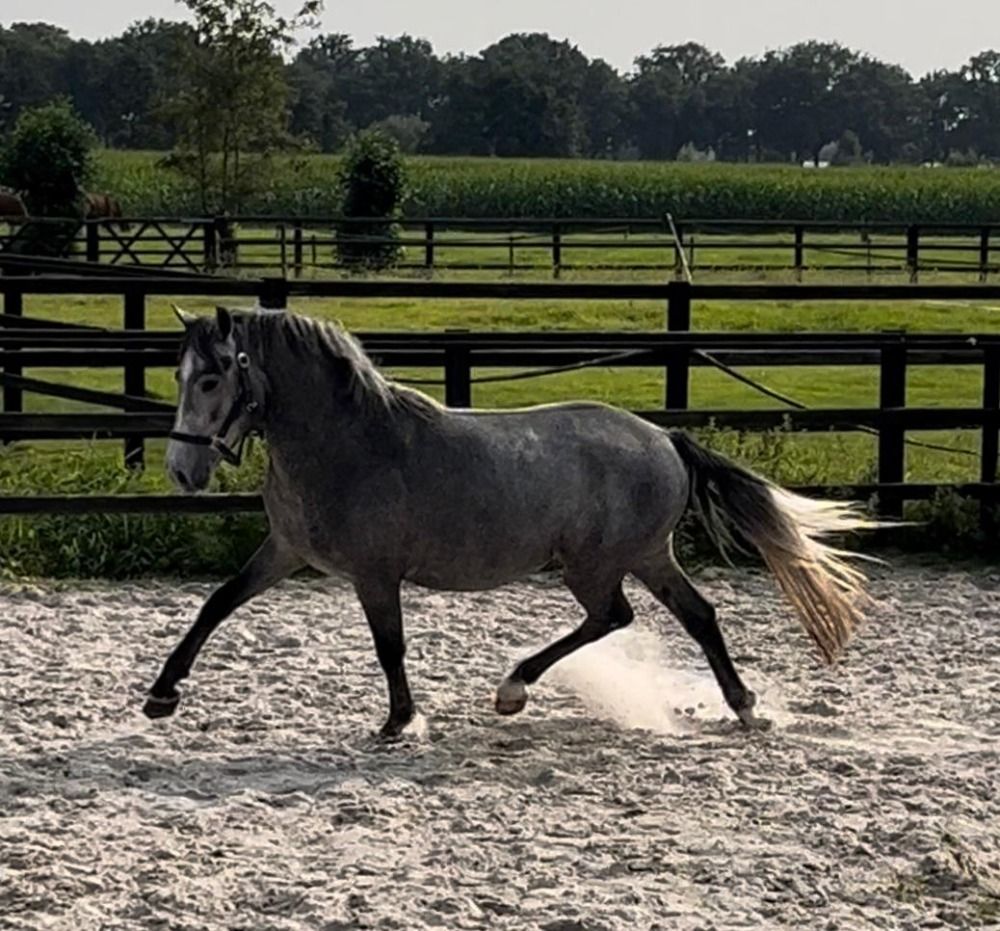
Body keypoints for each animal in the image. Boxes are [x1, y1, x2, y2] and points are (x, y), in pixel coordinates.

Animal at [145, 306, 878, 737]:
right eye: (179, 374)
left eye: (211, 378)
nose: (182, 470)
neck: (351, 442)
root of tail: (665, 439)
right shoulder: (284, 549)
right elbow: (216, 604)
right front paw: (161, 695)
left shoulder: (375, 574)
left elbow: (389, 645)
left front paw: (400, 720)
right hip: (647, 555)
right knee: (694, 614)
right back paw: (743, 703)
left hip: (597, 564)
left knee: (615, 616)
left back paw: (513, 688)